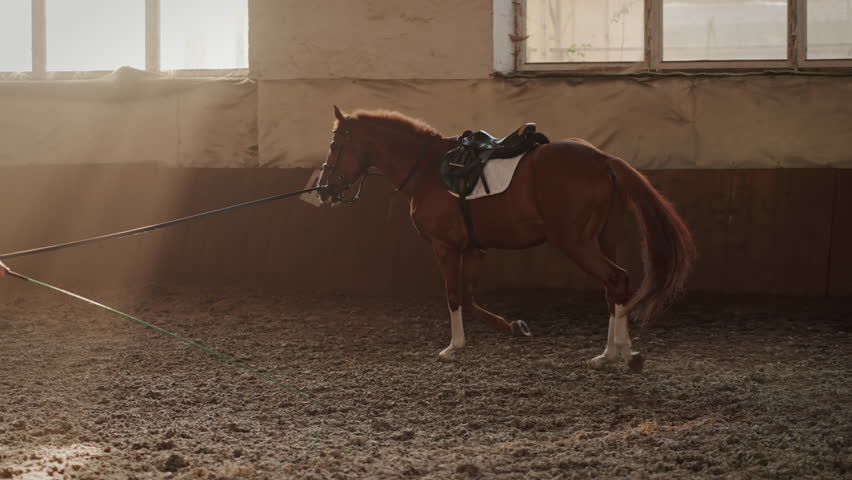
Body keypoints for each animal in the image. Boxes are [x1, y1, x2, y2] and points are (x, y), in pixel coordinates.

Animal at [317, 106, 695, 372]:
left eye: (336, 145)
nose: (323, 190)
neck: (426, 170)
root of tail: (602, 159)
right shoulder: (475, 248)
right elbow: (468, 298)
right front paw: (515, 327)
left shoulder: (445, 247)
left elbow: (453, 295)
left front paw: (453, 347)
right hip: (604, 238)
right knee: (614, 288)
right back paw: (616, 353)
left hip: (575, 243)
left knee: (616, 279)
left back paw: (616, 354)